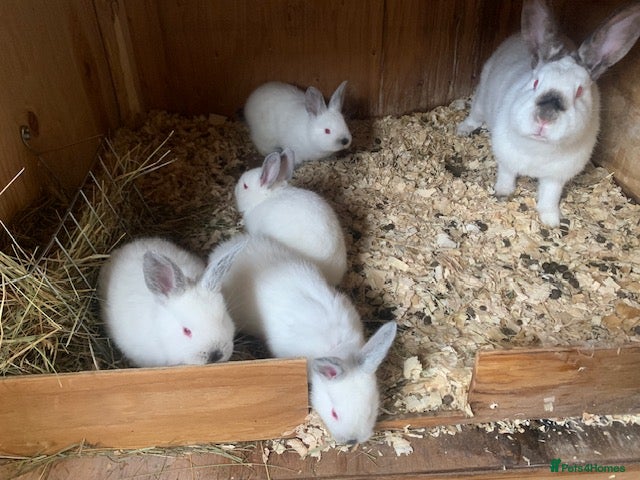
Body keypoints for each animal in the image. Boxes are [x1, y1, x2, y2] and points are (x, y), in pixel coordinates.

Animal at [457, 0, 640, 227]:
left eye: (579, 92)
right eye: (535, 83)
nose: (544, 118)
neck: (540, 148)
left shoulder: (556, 177)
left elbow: (549, 196)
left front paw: (551, 220)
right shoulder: (506, 158)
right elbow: (506, 176)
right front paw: (502, 193)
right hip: (482, 95)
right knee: (475, 113)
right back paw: (463, 128)